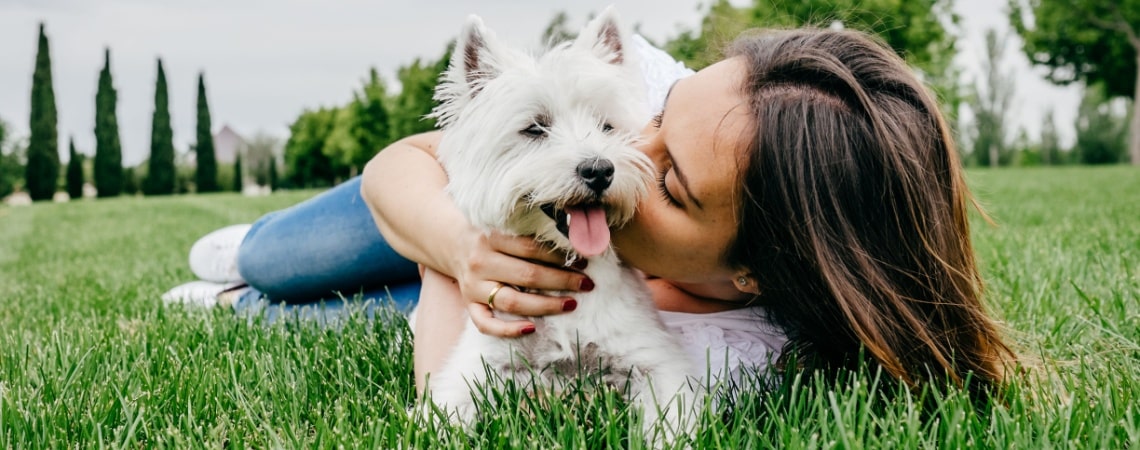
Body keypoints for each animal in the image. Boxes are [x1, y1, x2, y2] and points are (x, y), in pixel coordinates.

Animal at [424, 7, 697, 444]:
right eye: (535, 128)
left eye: (607, 126)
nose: (599, 170)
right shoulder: (479, 364)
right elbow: (442, 414)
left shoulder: (654, 359)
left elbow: (671, 418)